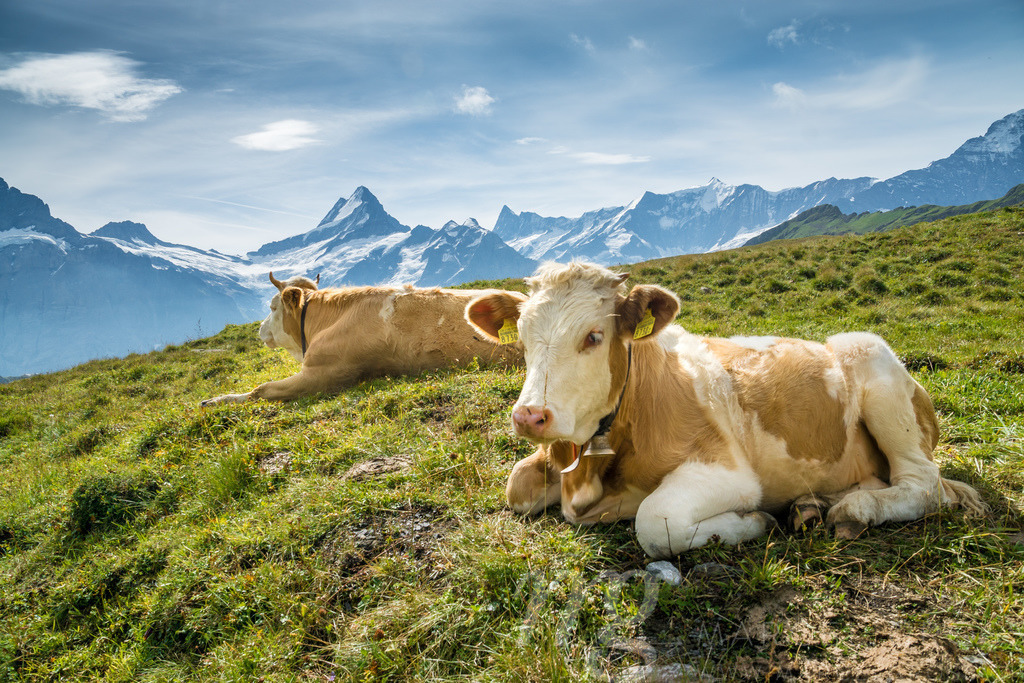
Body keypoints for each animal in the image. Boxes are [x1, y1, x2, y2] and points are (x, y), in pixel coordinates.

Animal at [465, 261, 986, 559]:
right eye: (523, 337)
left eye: (593, 336)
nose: (530, 416)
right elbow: (516, 484)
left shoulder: (728, 472)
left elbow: (655, 521)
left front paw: (752, 523)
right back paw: (813, 505)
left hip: (872, 360)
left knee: (923, 485)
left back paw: (853, 509)